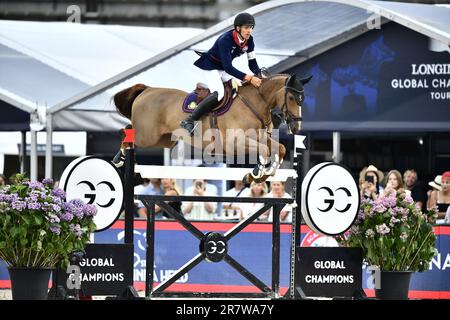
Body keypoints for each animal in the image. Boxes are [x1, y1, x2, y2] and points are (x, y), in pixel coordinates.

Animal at [113, 73, 310, 182]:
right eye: (291, 98)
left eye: (303, 98)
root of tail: (147, 89)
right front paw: (256, 172)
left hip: (164, 140)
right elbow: (264, 150)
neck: (254, 104)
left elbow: (280, 148)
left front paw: (263, 174)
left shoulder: (260, 138)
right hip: (147, 136)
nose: (297, 127)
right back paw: (119, 158)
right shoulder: (235, 144)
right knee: (128, 131)